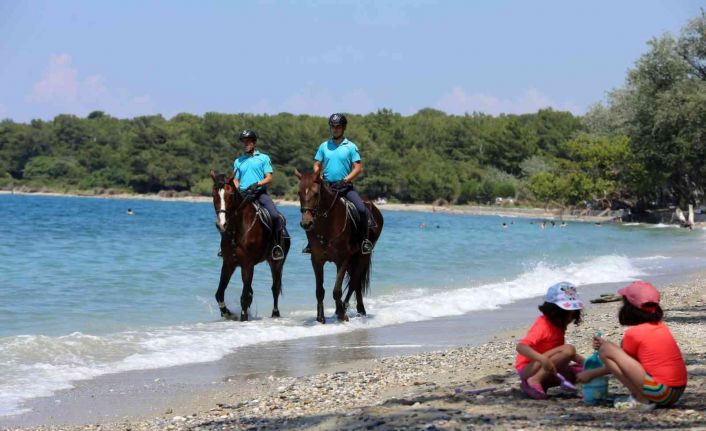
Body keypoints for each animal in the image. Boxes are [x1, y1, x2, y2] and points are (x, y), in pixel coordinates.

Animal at [209, 170, 288, 322]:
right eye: (214, 194)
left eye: (230, 194)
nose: (221, 224)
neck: (237, 230)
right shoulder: (229, 263)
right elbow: (219, 293)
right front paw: (227, 313)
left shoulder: (248, 264)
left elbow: (244, 296)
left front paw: (243, 317)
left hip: (277, 263)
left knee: (275, 287)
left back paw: (275, 314)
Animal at [292, 171, 382, 324]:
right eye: (299, 193)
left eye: (316, 193)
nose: (306, 223)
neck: (327, 224)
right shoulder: (316, 260)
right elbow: (319, 291)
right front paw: (320, 318)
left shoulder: (342, 260)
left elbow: (337, 290)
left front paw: (341, 315)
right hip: (353, 258)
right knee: (356, 284)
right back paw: (359, 310)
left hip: (363, 256)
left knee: (354, 282)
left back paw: (346, 308)